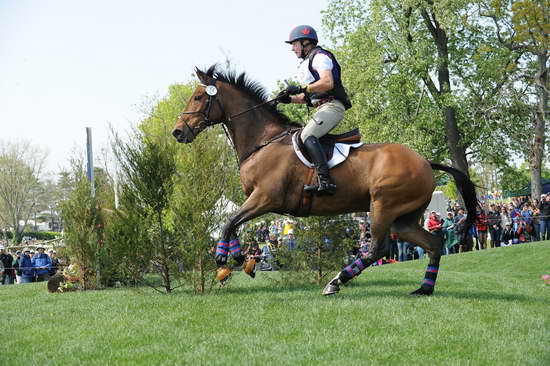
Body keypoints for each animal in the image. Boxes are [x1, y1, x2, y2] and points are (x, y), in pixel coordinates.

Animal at [172, 65, 478, 294]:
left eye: (198, 97)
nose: (177, 132)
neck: (263, 142)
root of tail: (425, 162)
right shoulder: (257, 200)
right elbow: (235, 224)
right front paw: (238, 259)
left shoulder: (266, 198)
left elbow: (229, 221)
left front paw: (224, 260)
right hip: (403, 218)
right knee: (433, 244)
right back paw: (424, 289)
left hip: (383, 206)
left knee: (377, 248)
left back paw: (335, 282)